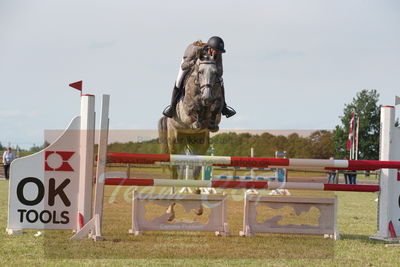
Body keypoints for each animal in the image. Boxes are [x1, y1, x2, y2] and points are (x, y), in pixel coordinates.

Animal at [157, 54, 225, 222]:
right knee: (174, 172)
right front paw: (199, 115)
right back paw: (170, 210)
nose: (207, 97)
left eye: (216, 72)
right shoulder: (188, 109)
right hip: (175, 141)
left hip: (199, 143)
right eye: (200, 72)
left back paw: (197, 204)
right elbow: (194, 107)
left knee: (195, 170)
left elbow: (216, 106)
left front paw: (210, 117)